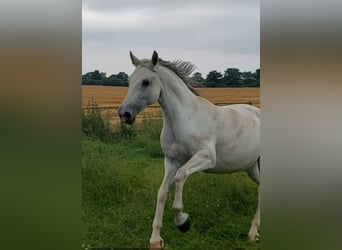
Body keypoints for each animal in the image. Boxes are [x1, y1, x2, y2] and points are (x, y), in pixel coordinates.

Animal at [119, 51, 260, 250]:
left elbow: (180, 177)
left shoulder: (206, 158)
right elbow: (162, 192)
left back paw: (253, 233)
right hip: (251, 167)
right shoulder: (171, 161)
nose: (124, 114)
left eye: (146, 82)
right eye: (130, 80)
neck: (184, 118)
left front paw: (183, 222)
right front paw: (155, 240)